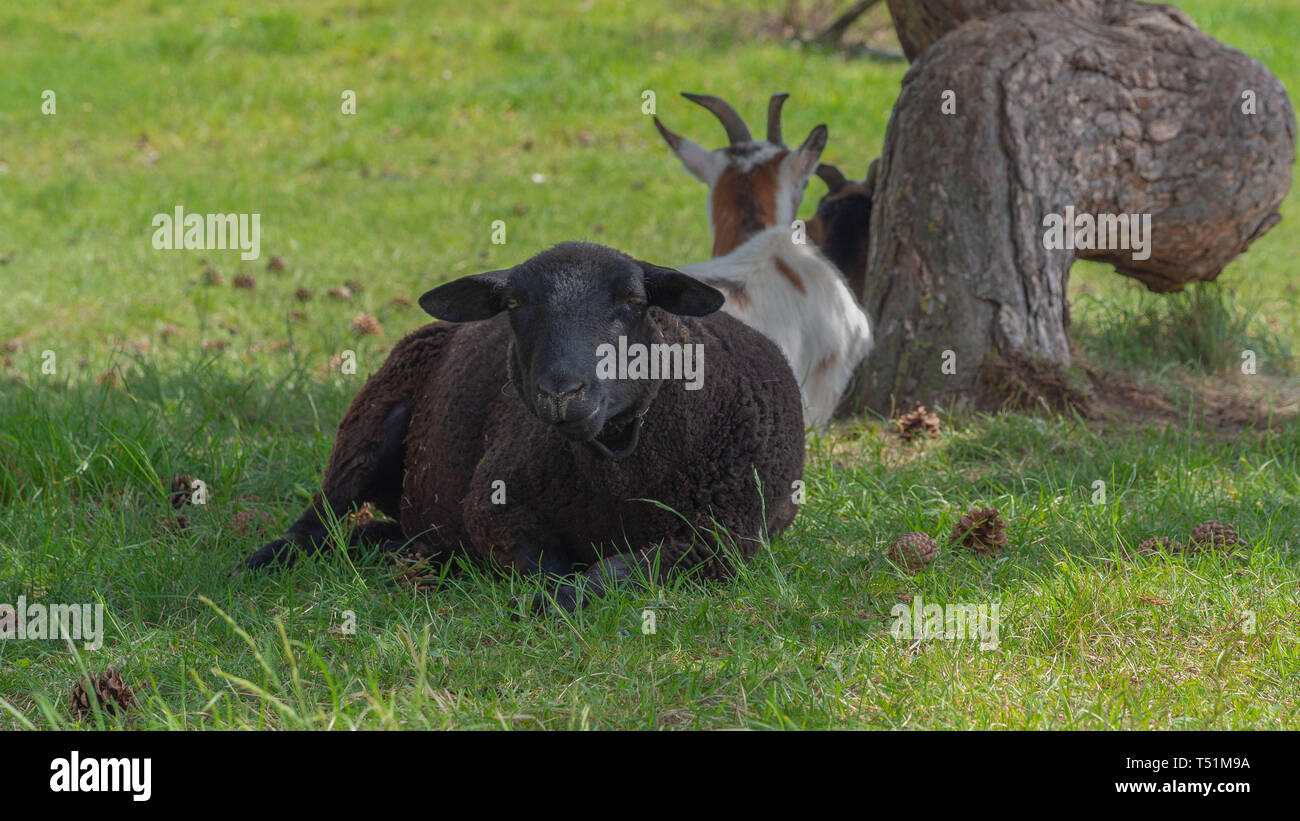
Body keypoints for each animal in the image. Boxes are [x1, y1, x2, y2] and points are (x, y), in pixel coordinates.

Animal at [244, 240, 800, 613]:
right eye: (513, 304)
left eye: (634, 301)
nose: (560, 393)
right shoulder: (497, 510)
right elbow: (544, 567)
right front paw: (544, 596)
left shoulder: (716, 539)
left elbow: (617, 572)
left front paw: (559, 600)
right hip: (369, 425)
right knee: (319, 521)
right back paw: (262, 563)